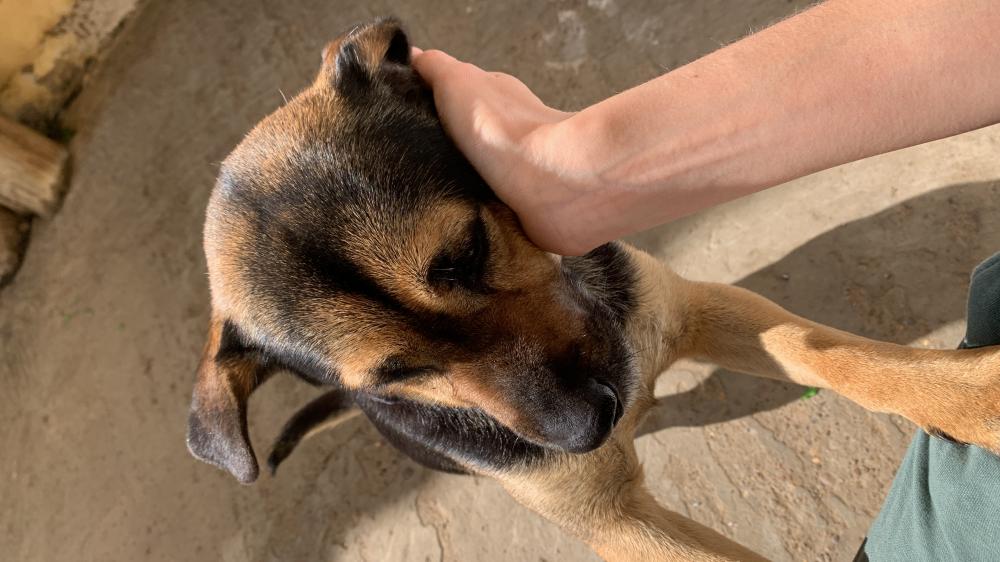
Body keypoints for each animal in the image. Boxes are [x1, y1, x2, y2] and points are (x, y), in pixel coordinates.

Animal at [186, 18, 1000, 560]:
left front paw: (968, 395)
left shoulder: (690, 307)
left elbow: (817, 347)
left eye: (467, 252)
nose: (588, 428)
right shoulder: (619, 524)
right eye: (397, 376)